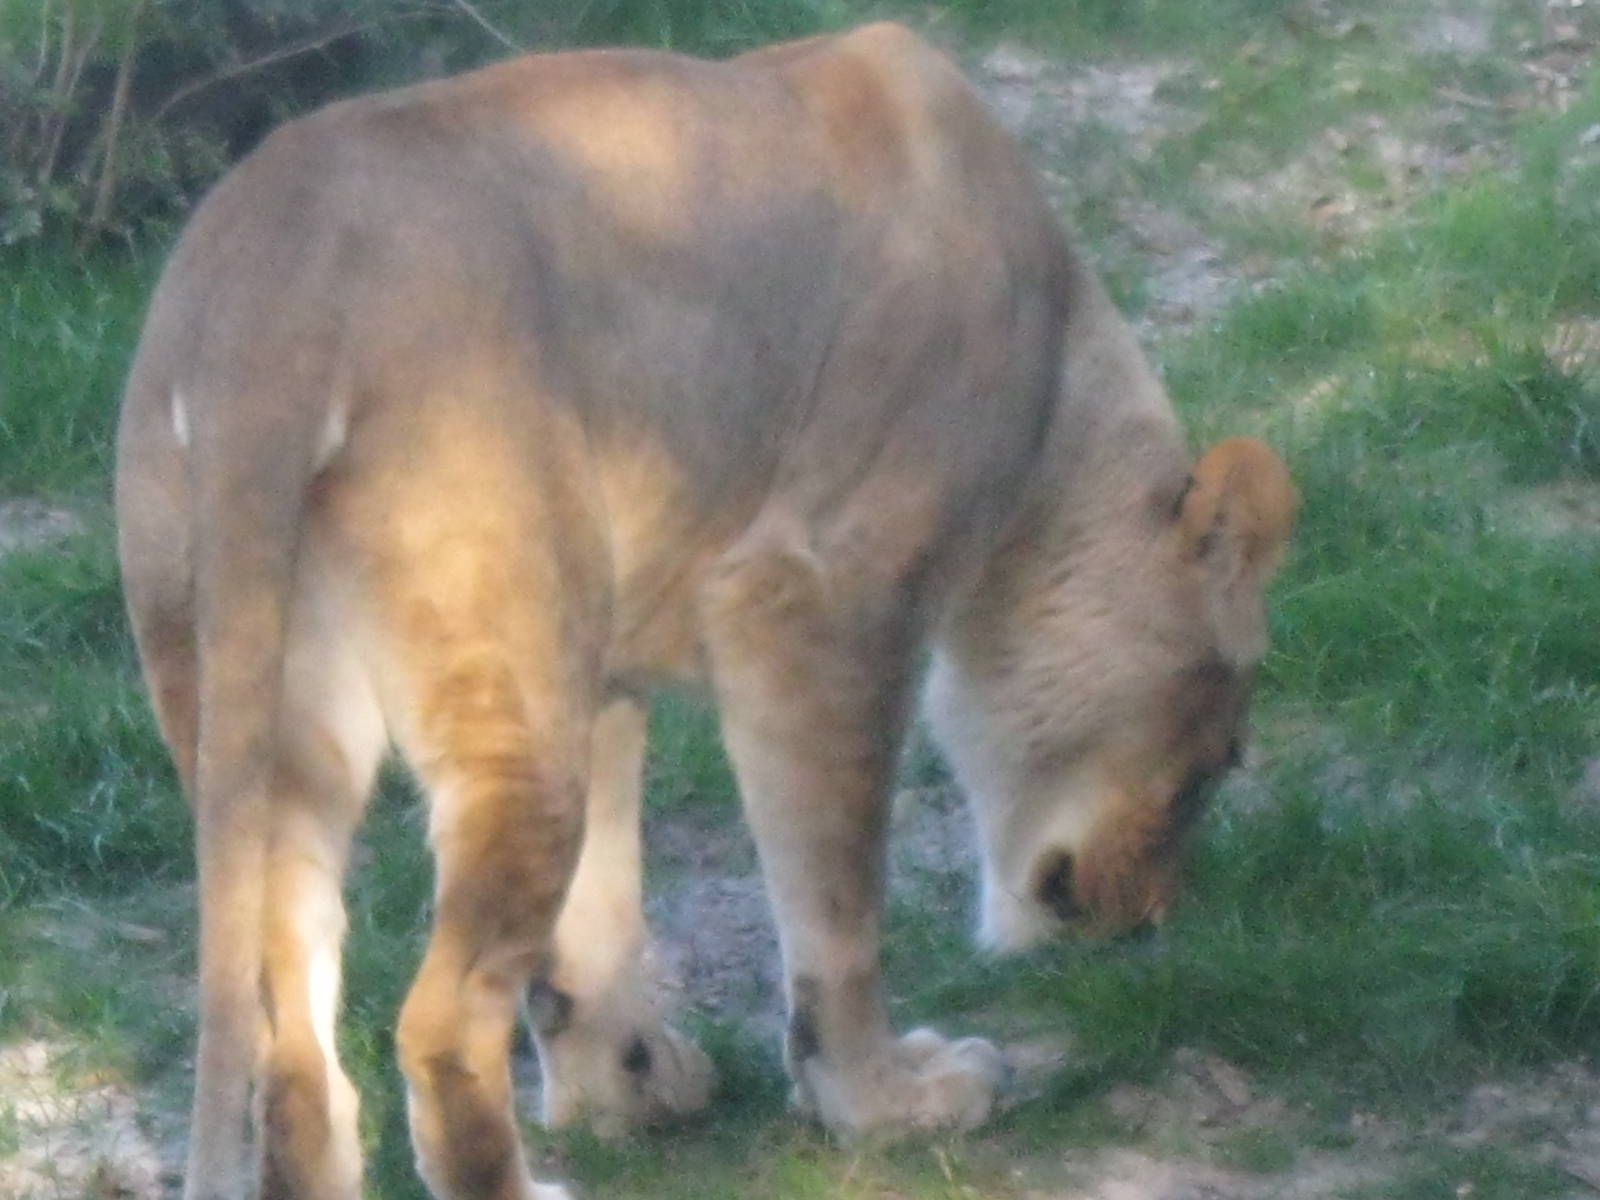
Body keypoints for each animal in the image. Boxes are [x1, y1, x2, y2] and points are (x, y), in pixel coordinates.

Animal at [115, 21, 1294, 1200]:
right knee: (439, 1025)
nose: (1141, 925)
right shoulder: (813, 598)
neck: (1057, 410)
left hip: (260, 706)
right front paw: (882, 1103)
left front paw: (628, 1093)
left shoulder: (603, 662)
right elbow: (836, 908)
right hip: (507, 696)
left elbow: (595, 919)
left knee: (289, 1044)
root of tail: (271, 298)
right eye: (1220, 753)